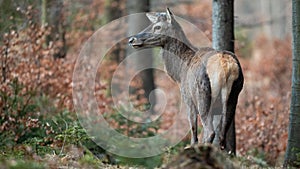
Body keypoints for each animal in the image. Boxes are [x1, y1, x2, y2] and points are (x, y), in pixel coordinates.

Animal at [127, 7, 243, 151]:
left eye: (157, 27)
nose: (132, 39)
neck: (178, 73)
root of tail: (227, 65)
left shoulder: (188, 99)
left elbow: (193, 131)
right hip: (233, 96)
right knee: (222, 136)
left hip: (203, 95)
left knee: (210, 131)